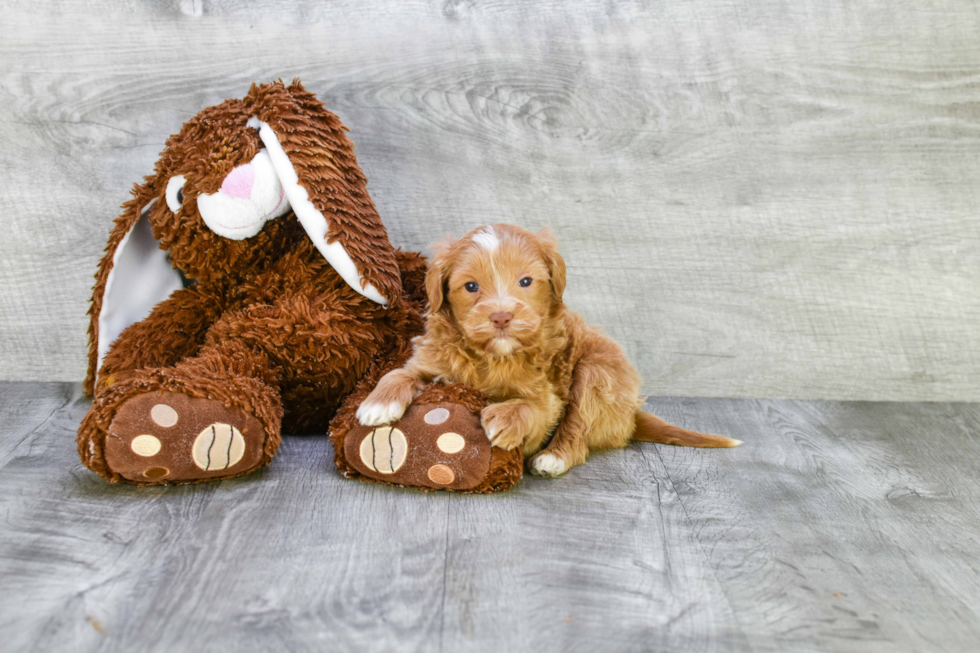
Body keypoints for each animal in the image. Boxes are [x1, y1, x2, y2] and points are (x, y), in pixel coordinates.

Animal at [356, 223, 740, 474]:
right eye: (471, 286)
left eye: (526, 281)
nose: (501, 316)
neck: (493, 355)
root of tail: (631, 414)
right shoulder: (431, 359)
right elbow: (399, 372)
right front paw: (377, 404)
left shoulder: (546, 395)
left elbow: (534, 409)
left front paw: (506, 419)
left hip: (596, 373)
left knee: (579, 432)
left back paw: (554, 458)